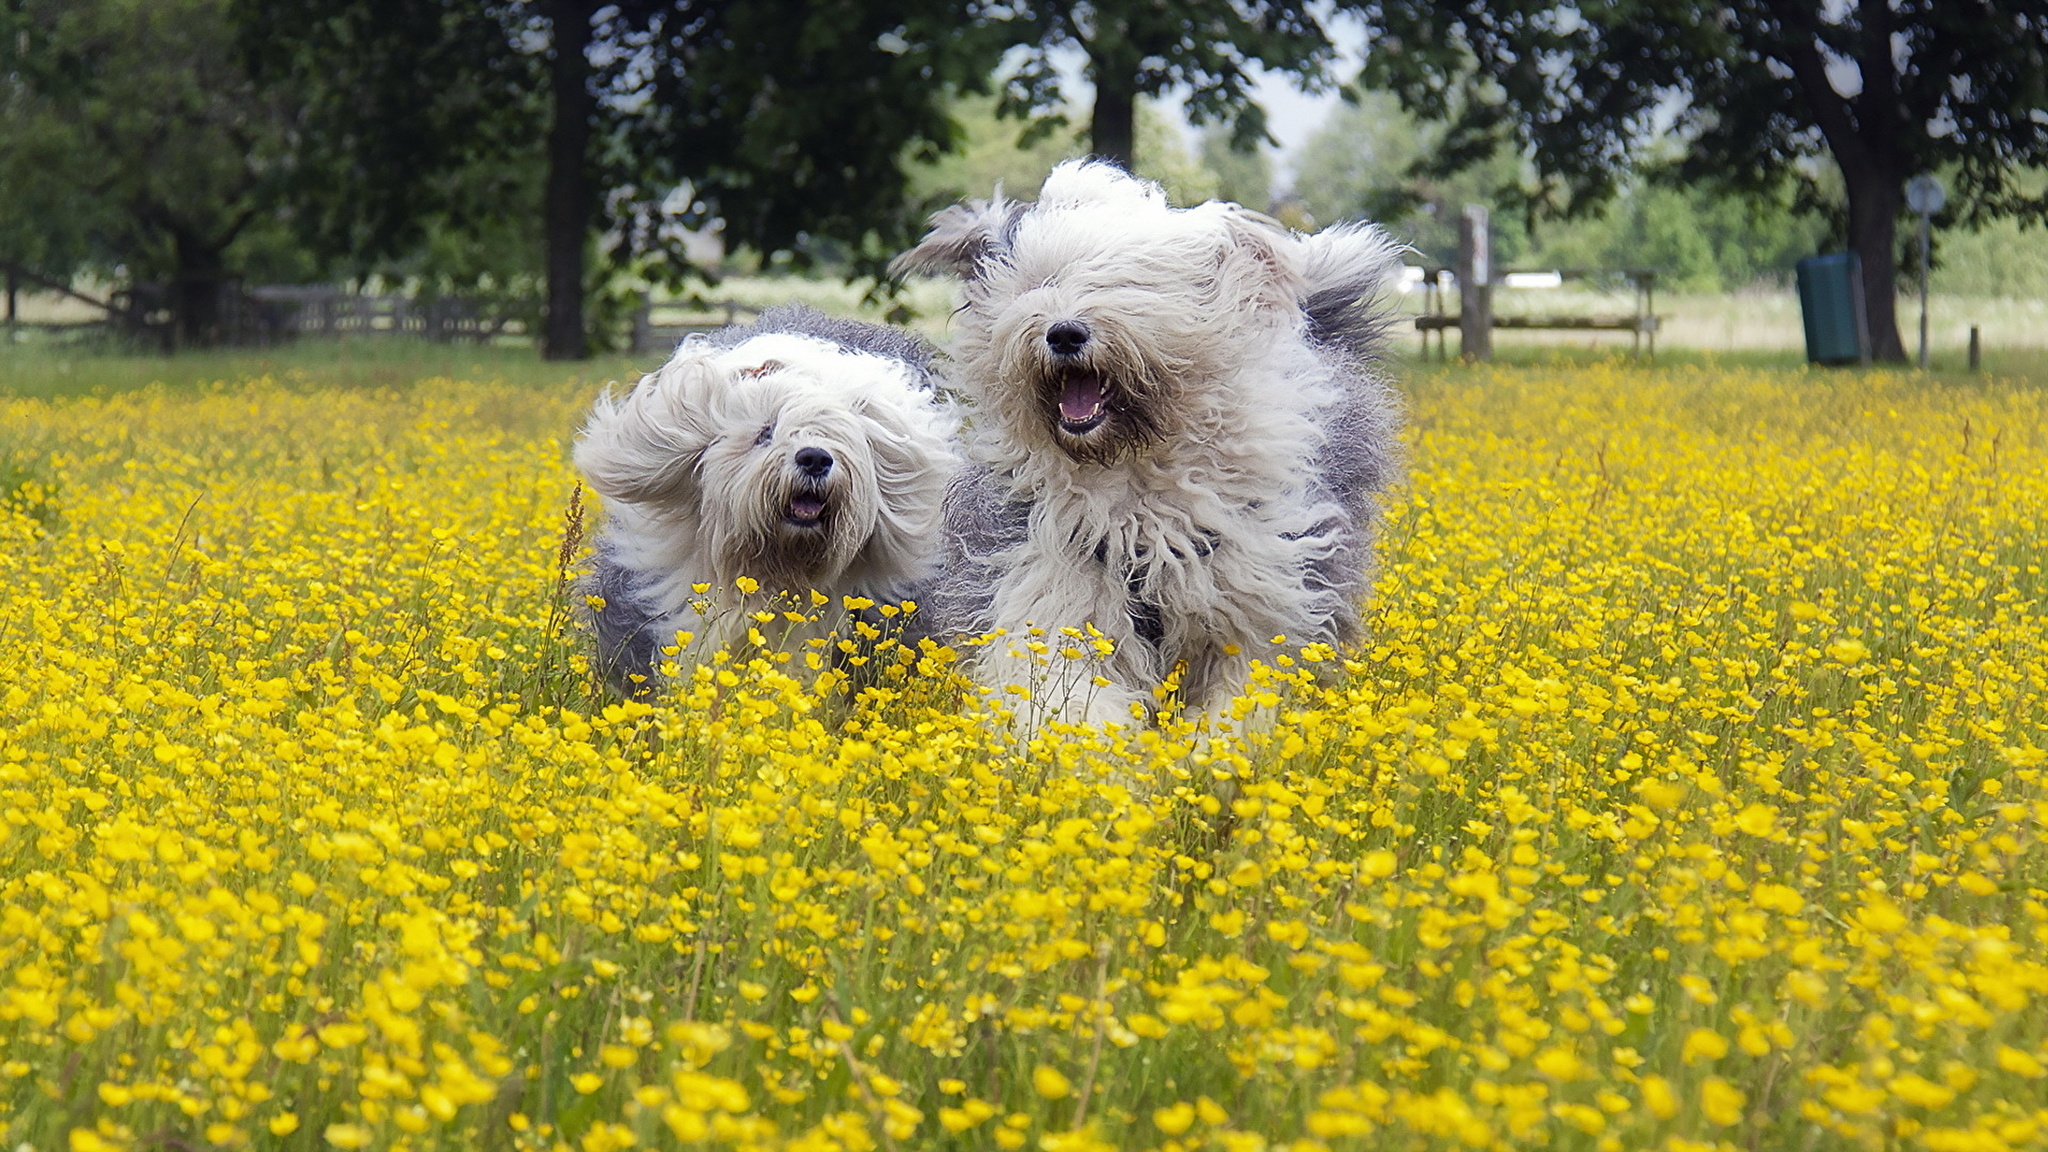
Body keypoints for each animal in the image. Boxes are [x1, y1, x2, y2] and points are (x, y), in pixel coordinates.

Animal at [897, 158, 1409, 725]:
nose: (1064, 333)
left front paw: (1215, 746)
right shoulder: (1048, 579)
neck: (1133, 479)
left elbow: (1239, 697)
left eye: (1132, 284)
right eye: (1044, 281)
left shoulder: (1264, 594)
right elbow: (1067, 692)